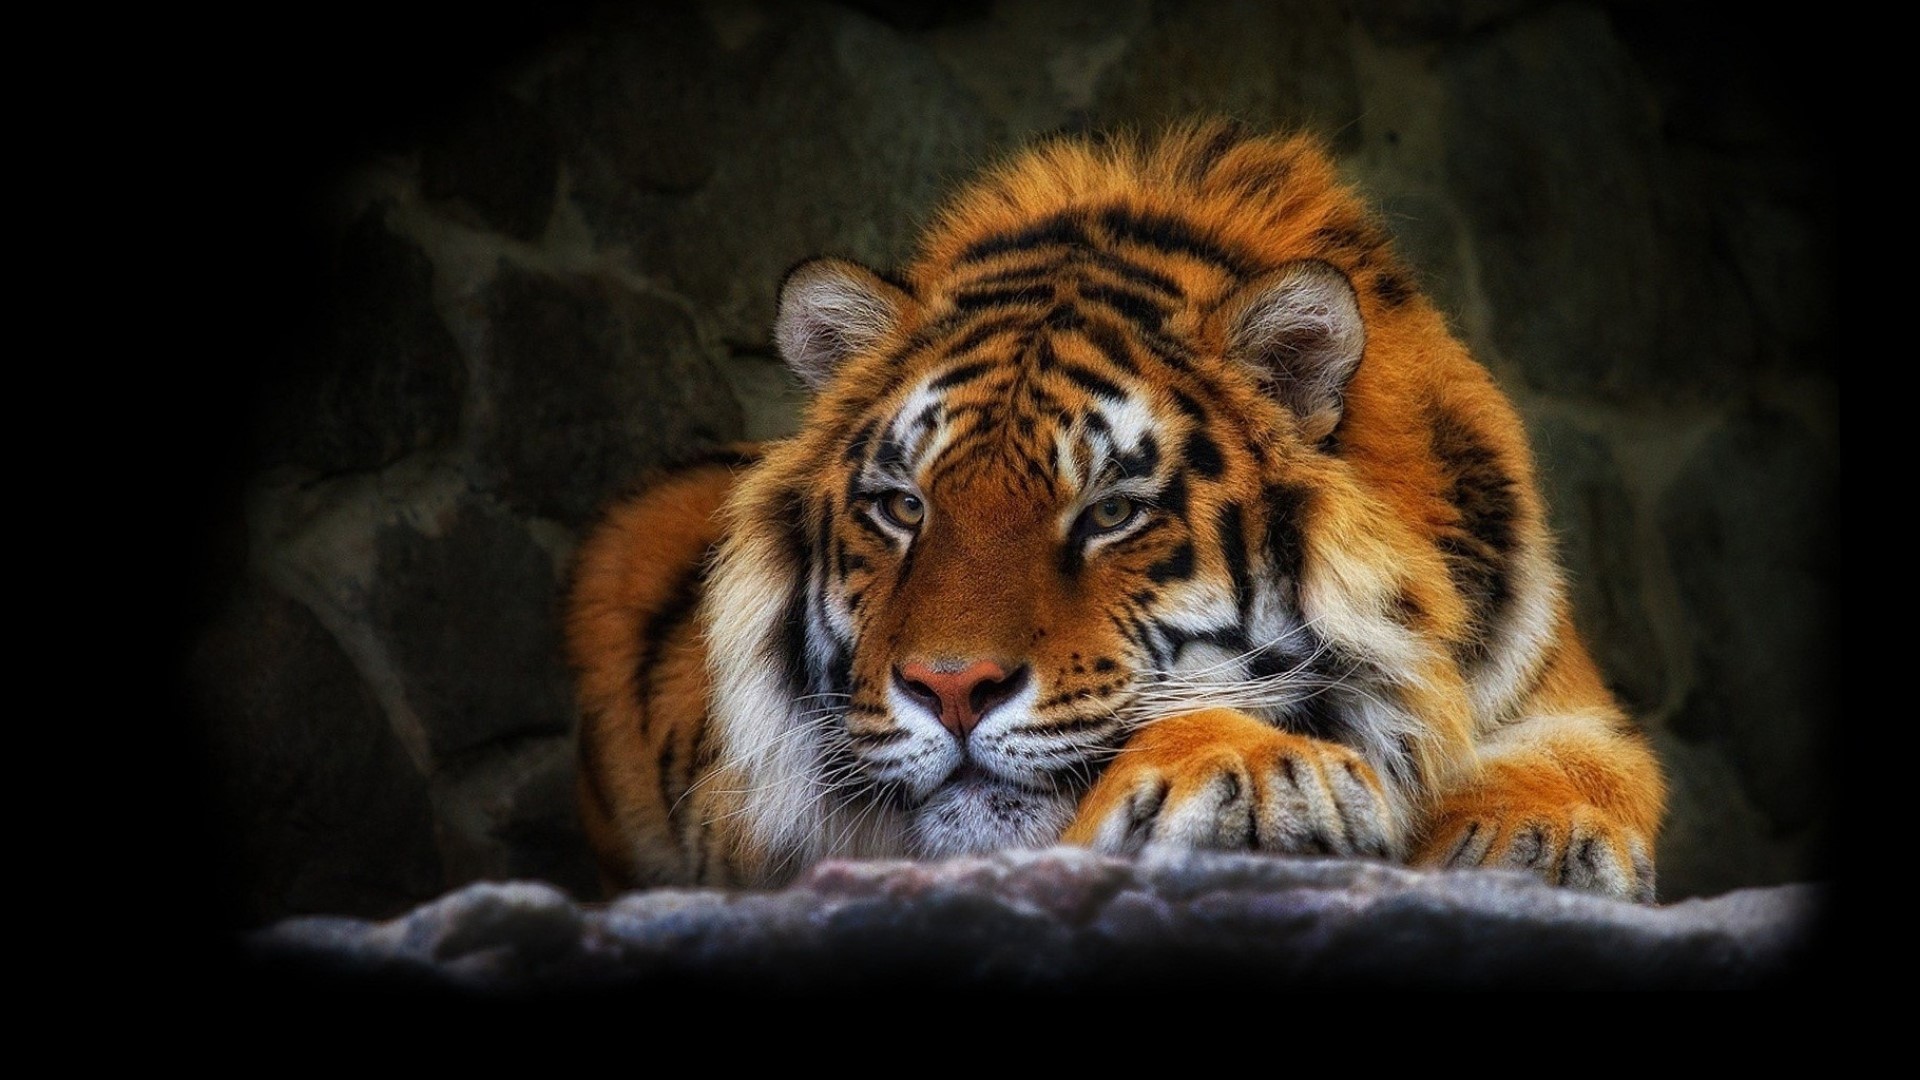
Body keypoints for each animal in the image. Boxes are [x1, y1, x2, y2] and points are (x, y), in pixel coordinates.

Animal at [566, 120, 1666, 903]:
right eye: (902, 508)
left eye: (1110, 514)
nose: (950, 689)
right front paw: (1255, 771)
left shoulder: (1558, 692)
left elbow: (1590, 763)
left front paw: (1533, 837)